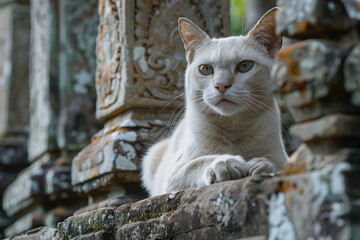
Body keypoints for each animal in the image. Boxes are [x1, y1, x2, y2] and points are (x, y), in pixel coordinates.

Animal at [142, 7, 288, 197]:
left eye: (245, 66)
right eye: (205, 69)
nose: (221, 85)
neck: (234, 129)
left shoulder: (283, 156)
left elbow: (276, 163)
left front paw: (260, 165)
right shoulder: (175, 173)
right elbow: (201, 162)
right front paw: (227, 163)